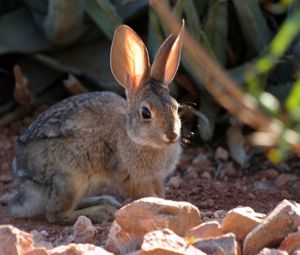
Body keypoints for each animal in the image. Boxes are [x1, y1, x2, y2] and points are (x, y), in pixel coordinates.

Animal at [8, 22, 184, 224]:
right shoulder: (130, 177)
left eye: (176, 107)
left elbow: (159, 193)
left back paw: (107, 201)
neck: (134, 137)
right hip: (70, 178)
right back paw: (102, 211)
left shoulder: (156, 178)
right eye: (146, 113)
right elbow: (147, 196)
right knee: (55, 214)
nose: (172, 135)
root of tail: (24, 188)